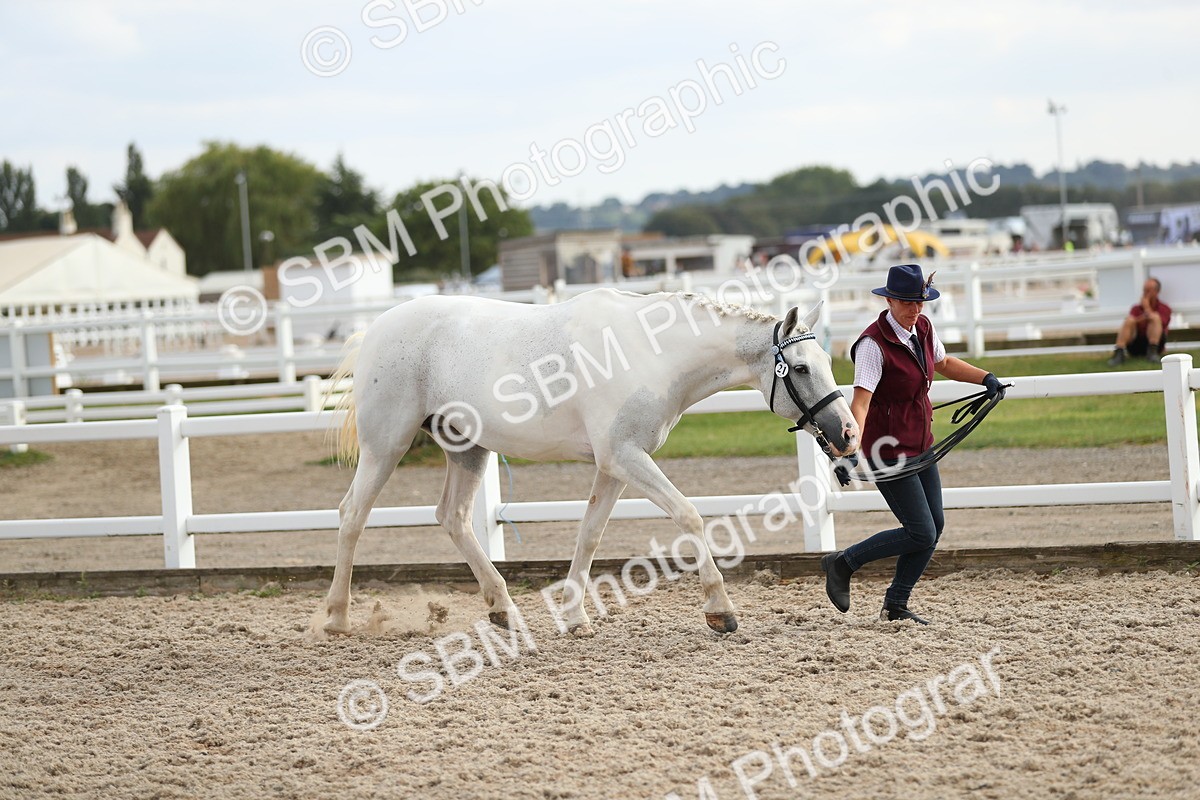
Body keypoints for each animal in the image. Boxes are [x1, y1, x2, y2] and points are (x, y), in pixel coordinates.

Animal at [317, 288, 858, 637]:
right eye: (801, 368)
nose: (848, 434)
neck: (652, 353)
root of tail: (375, 329)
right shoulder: (625, 458)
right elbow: (689, 516)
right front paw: (719, 610)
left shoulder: (614, 465)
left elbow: (590, 533)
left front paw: (575, 617)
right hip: (387, 445)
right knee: (352, 515)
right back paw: (338, 618)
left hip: (468, 449)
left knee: (453, 517)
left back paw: (504, 611)